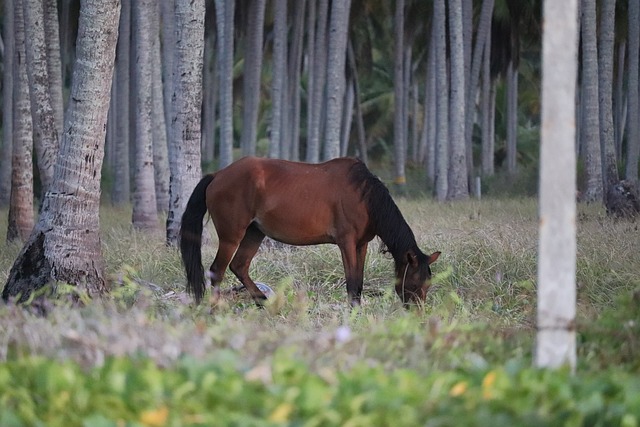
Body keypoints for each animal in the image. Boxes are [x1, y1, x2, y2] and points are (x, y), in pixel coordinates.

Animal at [180, 157, 440, 308]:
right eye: (414, 283)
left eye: (427, 285)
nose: (417, 314)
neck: (365, 197)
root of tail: (218, 175)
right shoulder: (346, 243)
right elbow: (351, 282)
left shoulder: (361, 245)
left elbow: (359, 282)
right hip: (231, 235)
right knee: (217, 271)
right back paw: (215, 310)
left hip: (254, 233)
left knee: (239, 266)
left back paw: (263, 302)